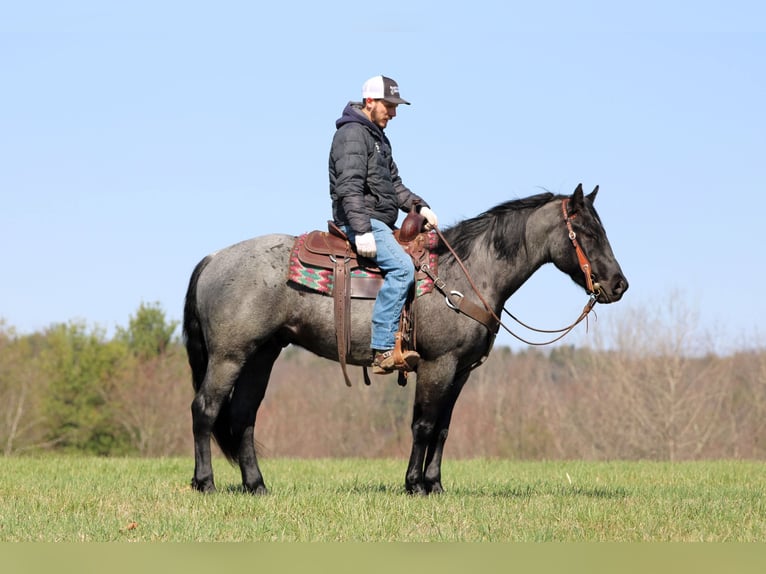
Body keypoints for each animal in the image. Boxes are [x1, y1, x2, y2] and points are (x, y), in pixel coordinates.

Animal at [183, 184, 628, 495]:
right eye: (586, 232)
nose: (618, 285)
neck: (466, 273)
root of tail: (213, 259)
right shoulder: (437, 365)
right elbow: (423, 424)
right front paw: (414, 484)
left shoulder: (460, 371)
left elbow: (443, 428)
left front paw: (435, 484)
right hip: (229, 356)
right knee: (205, 409)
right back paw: (205, 482)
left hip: (262, 355)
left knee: (243, 416)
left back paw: (256, 485)